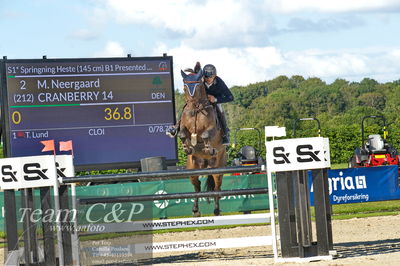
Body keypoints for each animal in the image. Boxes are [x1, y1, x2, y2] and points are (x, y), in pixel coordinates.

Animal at [177, 67, 225, 217]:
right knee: (197, 187)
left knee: (217, 187)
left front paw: (209, 148)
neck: (197, 110)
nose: (192, 110)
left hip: (218, 168)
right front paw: (187, 148)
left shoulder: (212, 129)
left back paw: (216, 210)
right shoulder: (184, 128)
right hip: (192, 169)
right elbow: (181, 133)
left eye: (198, 85)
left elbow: (205, 134)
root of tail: (206, 164)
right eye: (185, 86)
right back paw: (195, 210)